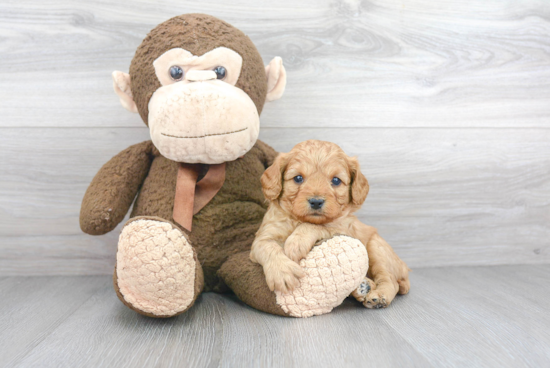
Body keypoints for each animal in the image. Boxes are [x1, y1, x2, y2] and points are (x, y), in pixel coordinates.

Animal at [252, 139, 412, 310]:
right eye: (298, 178)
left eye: (336, 180)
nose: (316, 201)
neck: (299, 220)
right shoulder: (263, 237)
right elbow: (267, 247)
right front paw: (282, 272)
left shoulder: (345, 228)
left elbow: (319, 226)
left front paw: (296, 242)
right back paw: (363, 287)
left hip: (377, 248)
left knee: (390, 280)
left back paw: (379, 296)